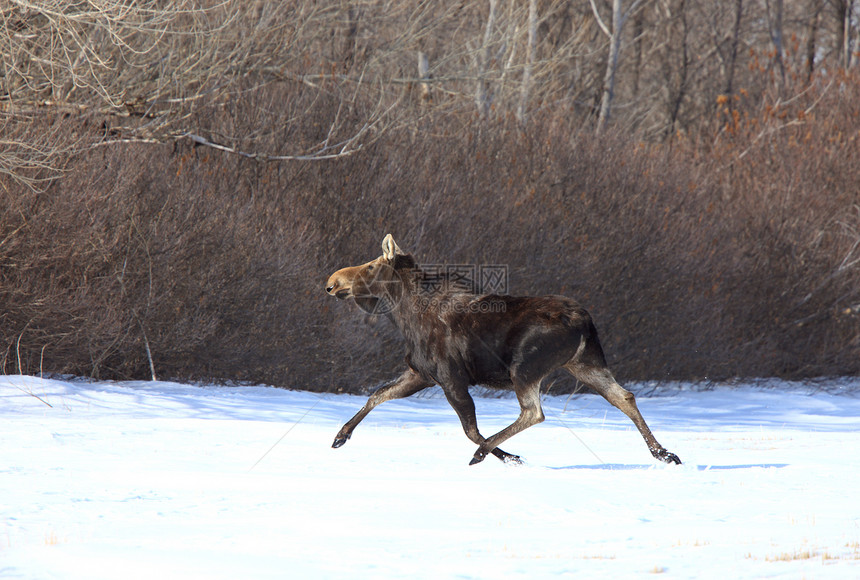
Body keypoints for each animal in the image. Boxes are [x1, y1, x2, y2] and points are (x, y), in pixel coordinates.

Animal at [322, 233, 680, 464]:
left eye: (371, 266)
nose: (332, 282)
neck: (404, 316)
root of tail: (584, 322)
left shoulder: (450, 378)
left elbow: (470, 430)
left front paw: (505, 456)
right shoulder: (420, 373)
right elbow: (377, 395)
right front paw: (340, 436)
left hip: (525, 368)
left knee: (534, 412)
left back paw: (484, 454)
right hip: (585, 363)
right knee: (624, 397)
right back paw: (664, 453)